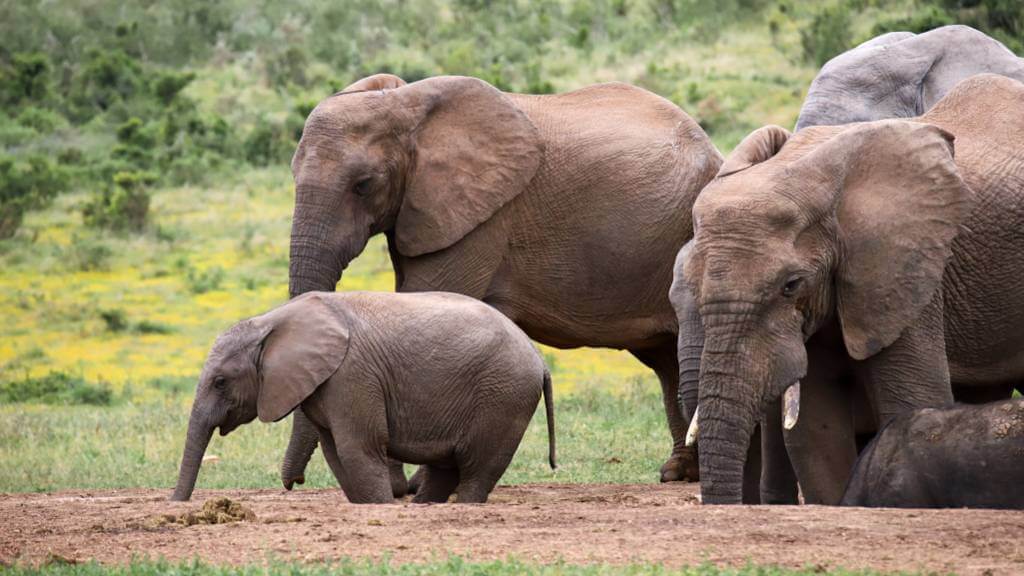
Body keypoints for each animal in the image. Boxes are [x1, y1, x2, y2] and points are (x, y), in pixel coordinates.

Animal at [172, 289, 557, 500]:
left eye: (220, 382)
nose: (178, 505)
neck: (272, 321)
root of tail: (539, 358)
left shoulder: (352, 376)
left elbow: (358, 449)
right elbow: (336, 455)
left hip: (504, 394)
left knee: (478, 470)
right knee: (447, 470)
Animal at [280, 69, 720, 485]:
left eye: (363, 185)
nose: (294, 482)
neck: (405, 104)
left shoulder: (482, 219)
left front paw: (413, 485)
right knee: (665, 359)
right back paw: (678, 472)